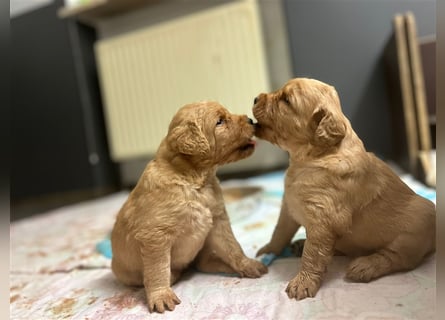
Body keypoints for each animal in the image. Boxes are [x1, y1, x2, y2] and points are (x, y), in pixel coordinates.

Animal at [111, 102, 268, 312]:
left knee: (204, 262)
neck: (194, 181)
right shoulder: (155, 236)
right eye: (220, 121)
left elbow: (233, 246)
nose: (251, 120)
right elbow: (158, 269)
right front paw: (161, 295)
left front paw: (248, 265)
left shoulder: (217, 220)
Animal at [253, 77, 434, 300]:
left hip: (416, 225)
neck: (311, 157)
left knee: (397, 258)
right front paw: (268, 250)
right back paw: (301, 243)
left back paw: (365, 266)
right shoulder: (289, 207)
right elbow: (280, 232)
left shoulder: (323, 220)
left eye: (286, 100)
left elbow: (313, 255)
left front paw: (302, 282)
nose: (255, 98)